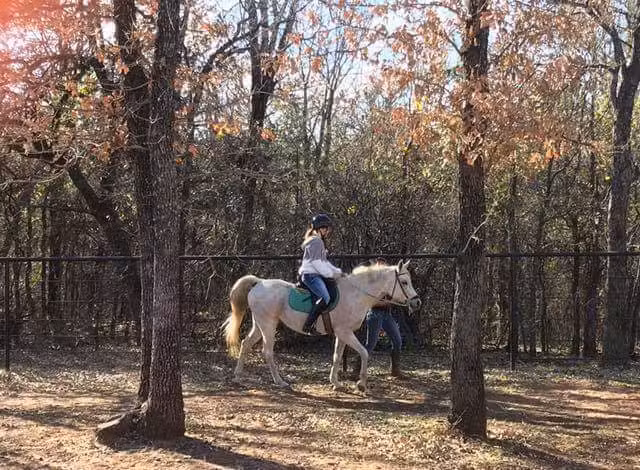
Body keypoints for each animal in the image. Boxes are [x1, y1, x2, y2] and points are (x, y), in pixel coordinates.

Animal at [223, 260, 421, 392]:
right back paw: (280, 381)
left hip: (259, 324)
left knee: (245, 344)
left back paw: (238, 376)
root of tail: (259, 283)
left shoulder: (341, 333)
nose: (417, 302)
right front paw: (361, 384)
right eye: (404, 282)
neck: (356, 294)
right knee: (267, 352)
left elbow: (337, 356)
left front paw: (335, 382)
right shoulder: (346, 332)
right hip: (268, 325)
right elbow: (364, 352)